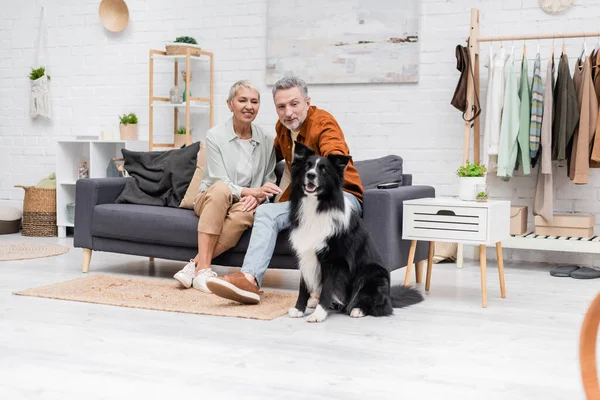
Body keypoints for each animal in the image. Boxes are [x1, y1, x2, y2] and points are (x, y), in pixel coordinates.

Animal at [288, 142, 424, 324]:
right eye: (306, 167)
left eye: (323, 170)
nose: (310, 175)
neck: (317, 206)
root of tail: (389, 297)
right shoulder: (305, 253)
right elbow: (303, 286)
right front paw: (298, 309)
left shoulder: (335, 260)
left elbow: (328, 288)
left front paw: (318, 314)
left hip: (373, 274)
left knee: (380, 307)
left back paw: (357, 309)